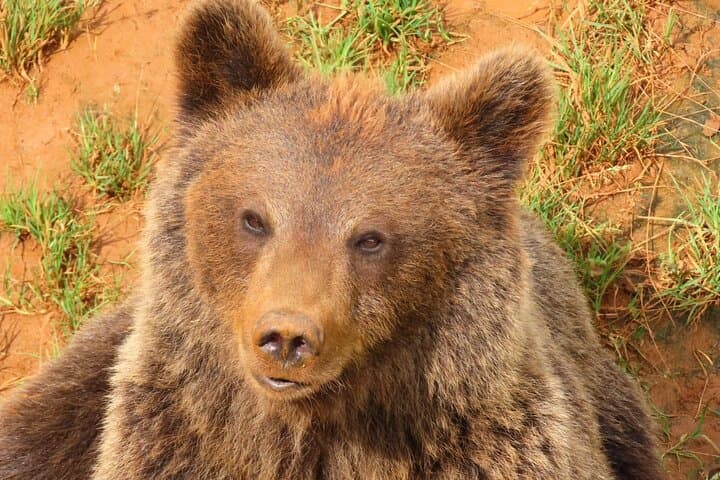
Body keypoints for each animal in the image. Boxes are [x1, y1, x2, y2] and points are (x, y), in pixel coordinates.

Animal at [0, 0, 663, 478]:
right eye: (255, 218)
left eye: (369, 238)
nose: (287, 336)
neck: (317, 425)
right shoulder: (171, 438)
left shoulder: (498, 447)